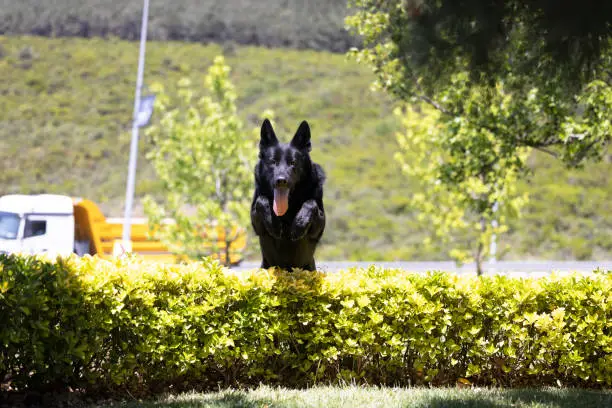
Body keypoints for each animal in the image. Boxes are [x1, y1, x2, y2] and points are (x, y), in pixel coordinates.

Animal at [250, 118, 326, 270]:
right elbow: (262, 200)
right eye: (273, 162)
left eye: (293, 163)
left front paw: (299, 224)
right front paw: (273, 224)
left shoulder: (318, 229)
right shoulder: (257, 225)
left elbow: (311, 203)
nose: (281, 181)